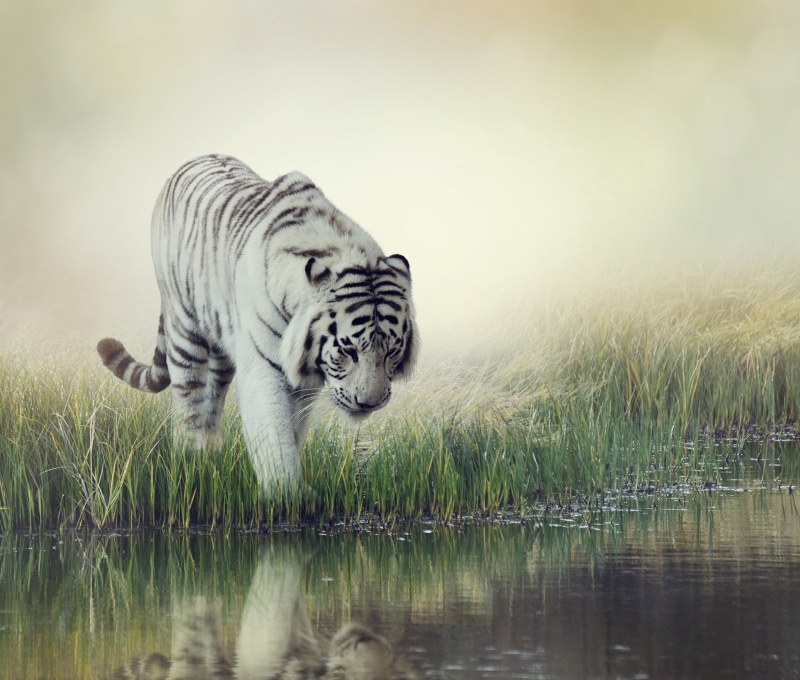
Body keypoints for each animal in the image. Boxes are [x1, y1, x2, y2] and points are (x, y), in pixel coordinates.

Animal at [97, 154, 418, 494]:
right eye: (348, 351)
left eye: (392, 352)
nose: (369, 403)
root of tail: (193, 160)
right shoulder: (263, 369)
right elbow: (273, 432)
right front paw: (287, 493)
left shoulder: (303, 382)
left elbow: (292, 430)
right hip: (184, 328)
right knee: (188, 398)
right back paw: (191, 457)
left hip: (222, 344)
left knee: (212, 397)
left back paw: (211, 453)